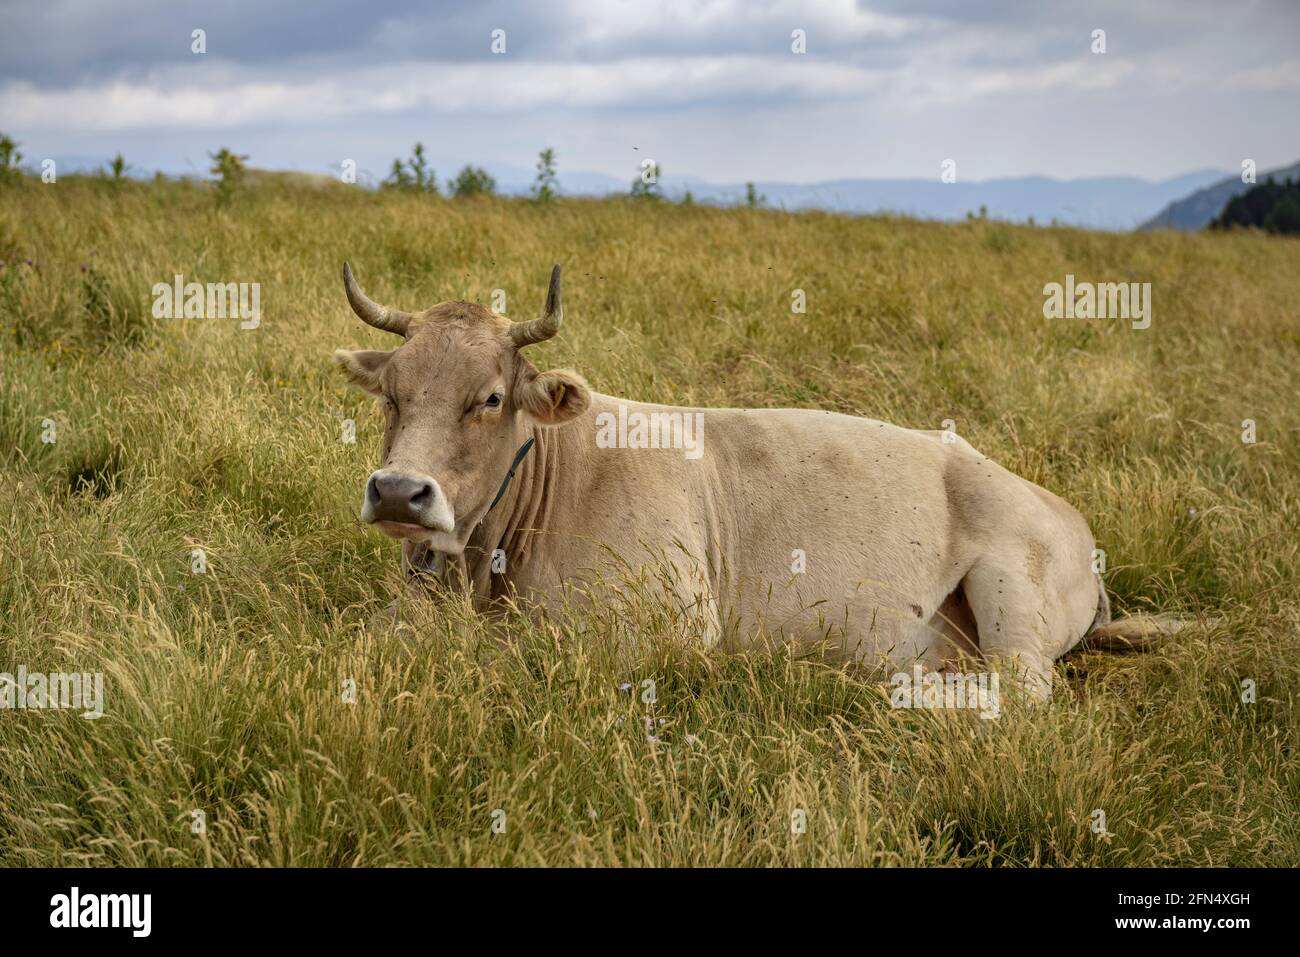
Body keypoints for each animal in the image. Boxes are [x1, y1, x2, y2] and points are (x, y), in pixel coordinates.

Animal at [335, 265, 1190, 696]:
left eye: (488, 398)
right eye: (392, 393)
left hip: (1012, 586)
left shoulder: (666, 620)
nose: (400, 490)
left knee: (1024, 692)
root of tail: (1067, 514)